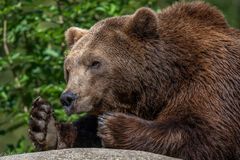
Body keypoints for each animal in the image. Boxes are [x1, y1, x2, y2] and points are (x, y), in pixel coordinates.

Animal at [29, 1, 240, 160]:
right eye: (68, 68)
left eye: (95, 63)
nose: (68, 98)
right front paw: (44, 124)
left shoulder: (214, 76)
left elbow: (207, 133)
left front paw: (113, 125)